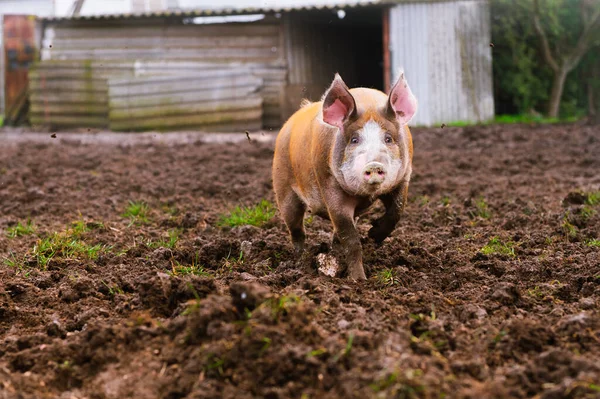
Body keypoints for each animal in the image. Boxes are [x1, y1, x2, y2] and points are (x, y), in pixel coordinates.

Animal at [274, 74, 418, 282]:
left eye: (388, 139)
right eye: (354, 140)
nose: (374, 165)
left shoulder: (403, 178)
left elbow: (397, 211)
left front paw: (373, 235)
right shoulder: (330, 186)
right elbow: (351, 239)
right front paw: (359, 280)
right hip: (283, 187)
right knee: (296, 228)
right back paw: (300, 259)